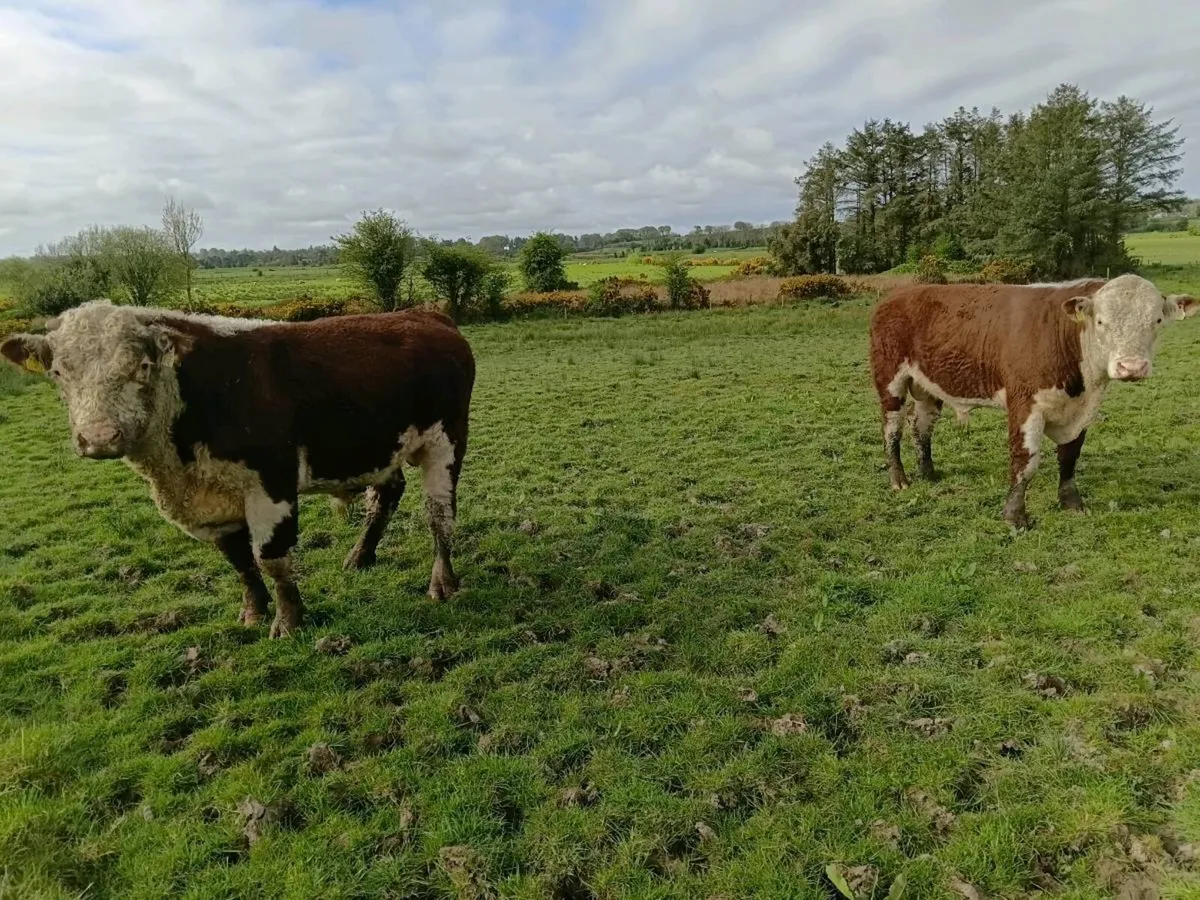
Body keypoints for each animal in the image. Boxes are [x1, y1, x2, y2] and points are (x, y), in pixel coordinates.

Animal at [1, 299, 475, 637]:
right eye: (58, 373)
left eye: (142, 366)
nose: (98, 437)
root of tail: (425, 315)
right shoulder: (212, 504)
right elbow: (238, 560)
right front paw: (253, 611)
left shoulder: (271, 482)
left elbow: (271, 558)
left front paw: (288, 622)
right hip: (377, 447)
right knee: (386, 496)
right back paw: (359, 556)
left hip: (446, 442)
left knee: (439, 516)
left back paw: (442, 582)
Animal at [869, 274, 1198, 529]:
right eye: (1101, 321)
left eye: (1157, 320)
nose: (1131, 367)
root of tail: (899, 294)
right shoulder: (1024, 403)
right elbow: (1026, 462)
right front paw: (1015, 516)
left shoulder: (1081, 410)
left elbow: (1070, 456)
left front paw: (1071, 503)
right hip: (890, 379)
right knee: (892, 428)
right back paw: (899, 479)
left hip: (928, 386)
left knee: (921, 426)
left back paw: (929, 473)